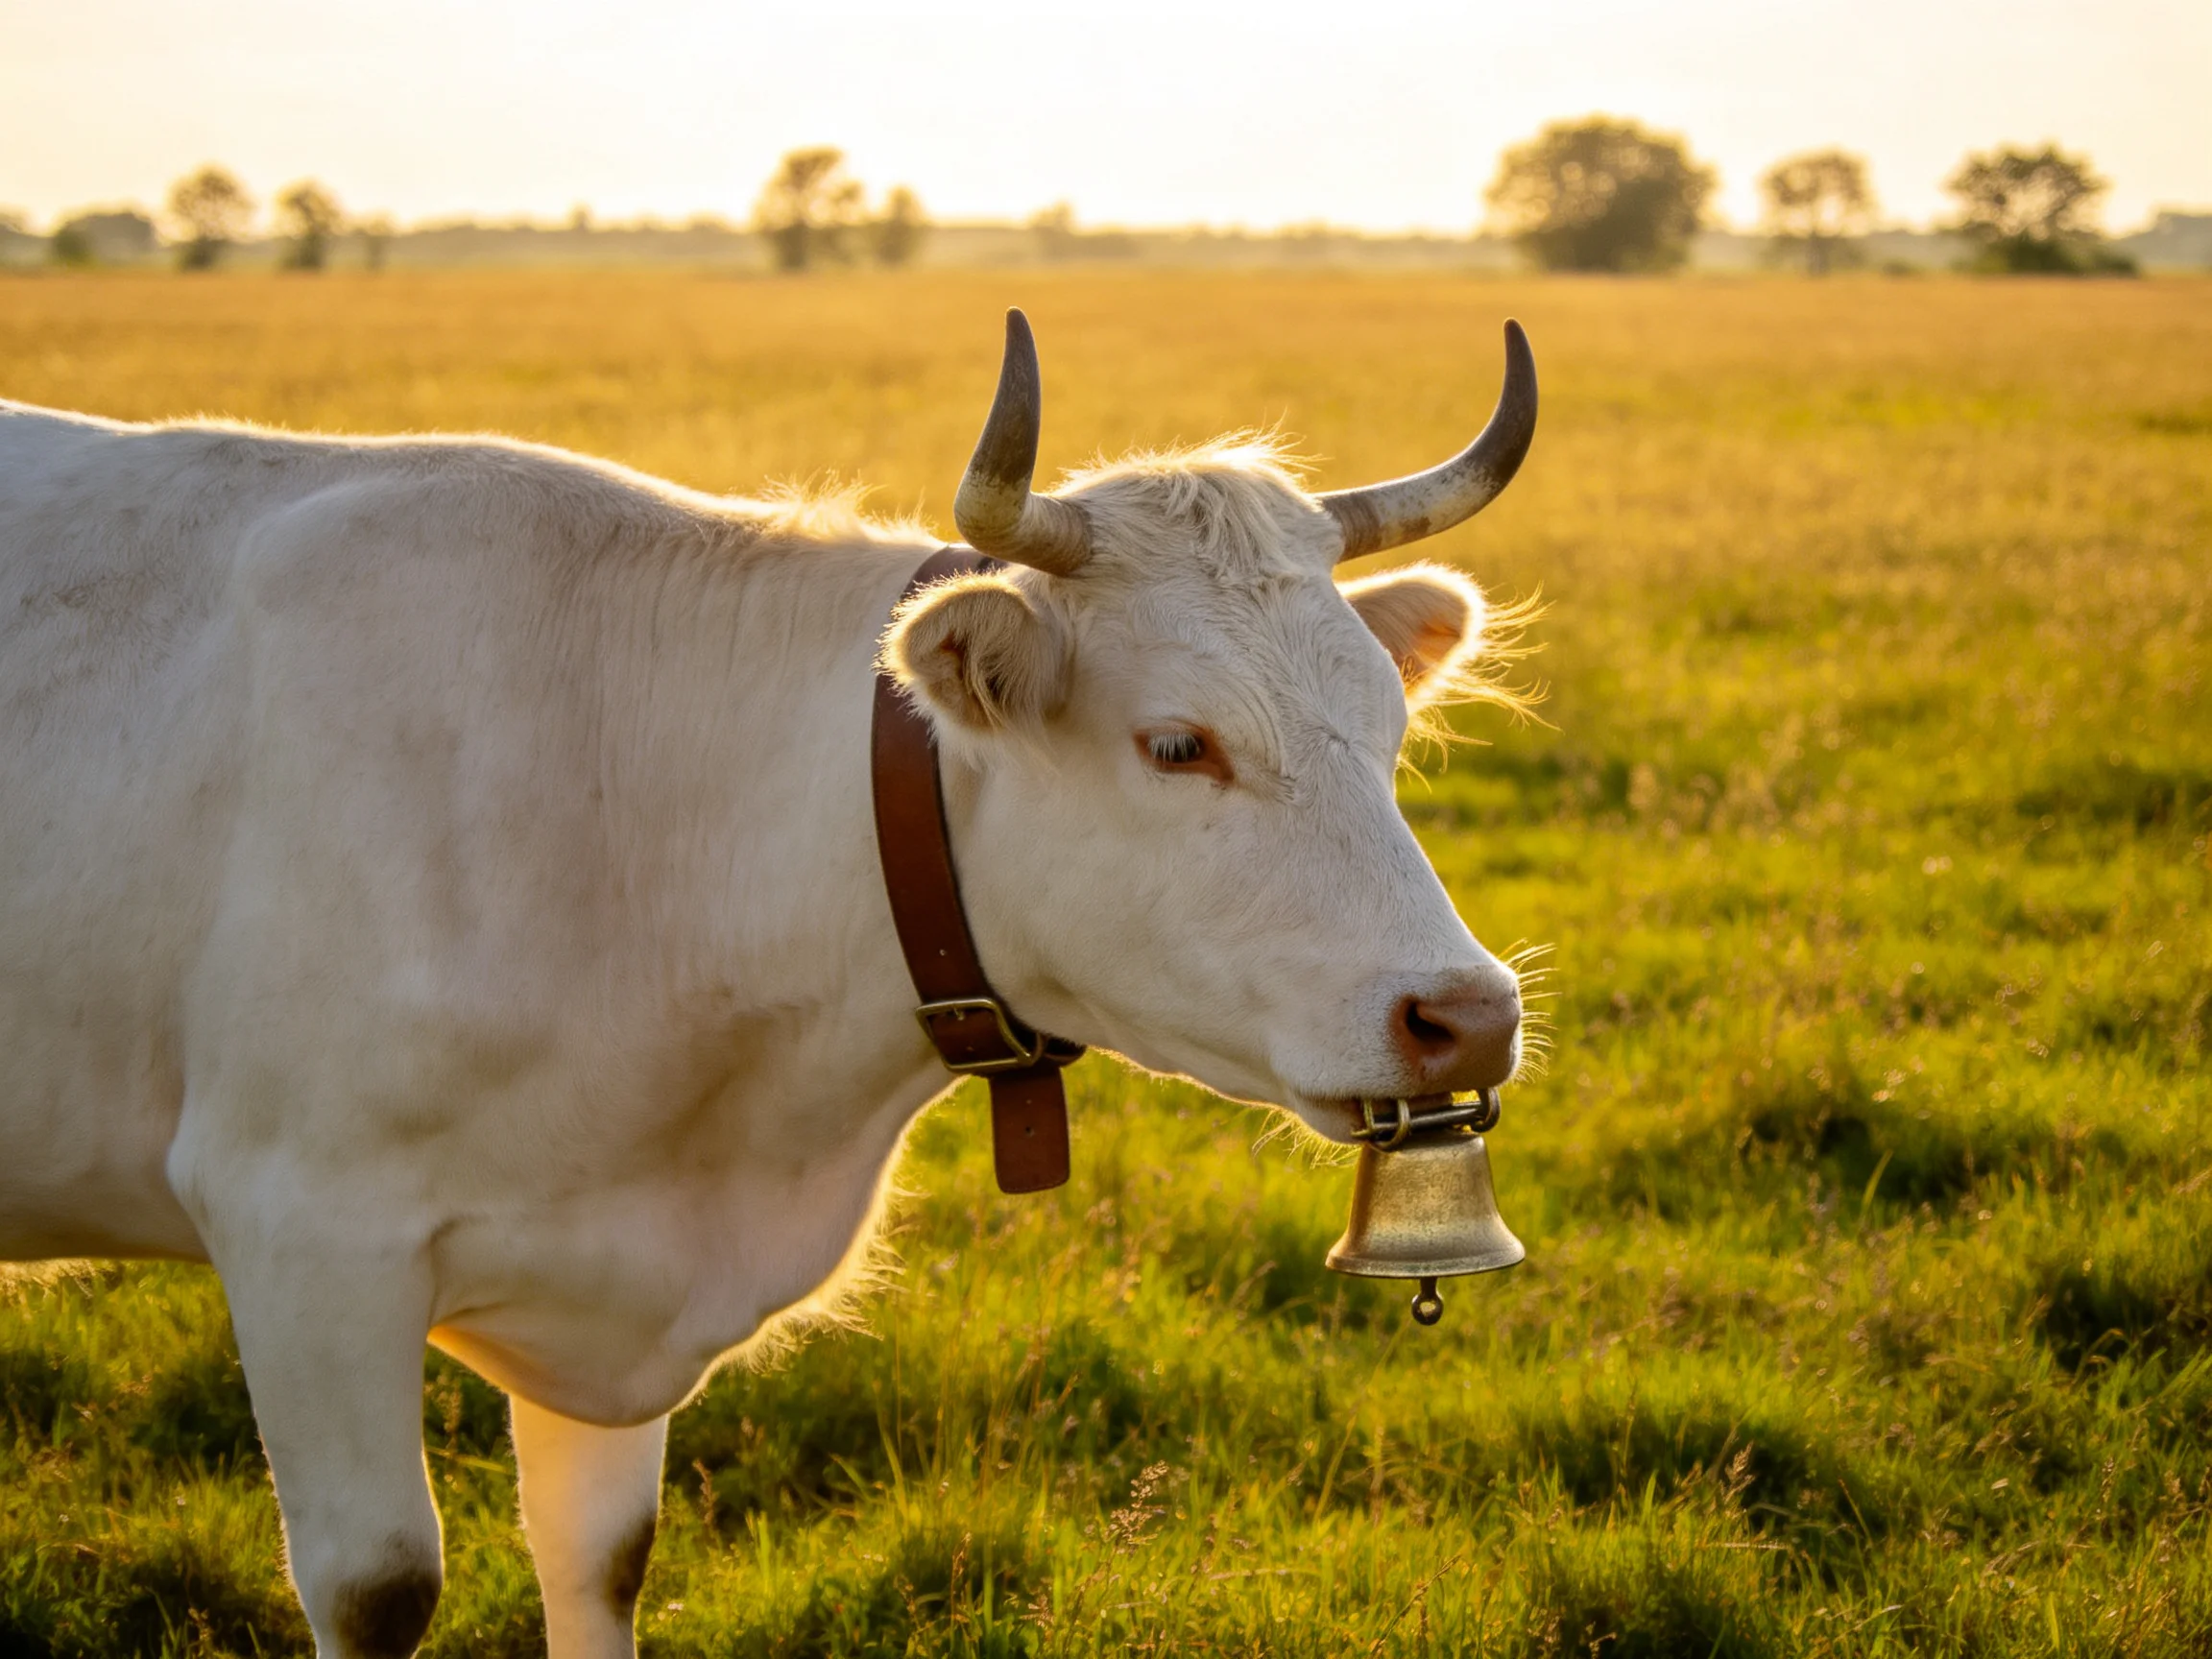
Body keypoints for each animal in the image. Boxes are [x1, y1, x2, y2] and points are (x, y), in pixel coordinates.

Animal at [0, 309, 1534, 1658]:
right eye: (1177, 745)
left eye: (1388, 723)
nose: (1466, 1014)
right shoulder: (300, 1224)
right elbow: (379, 1587)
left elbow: (600, 1564)